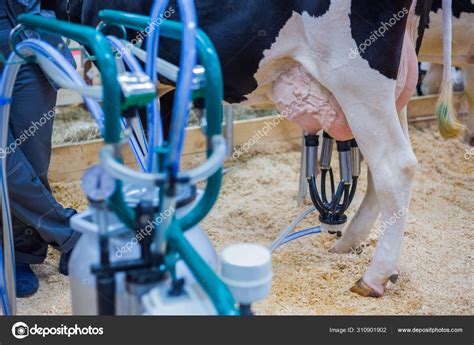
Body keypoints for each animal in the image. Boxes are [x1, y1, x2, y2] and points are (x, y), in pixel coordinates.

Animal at [46, 0, 458, 296]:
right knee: (381, 168)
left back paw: (374, 277)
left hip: (358, 76)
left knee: (395, 167)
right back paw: (347, 245)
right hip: (399, 78)